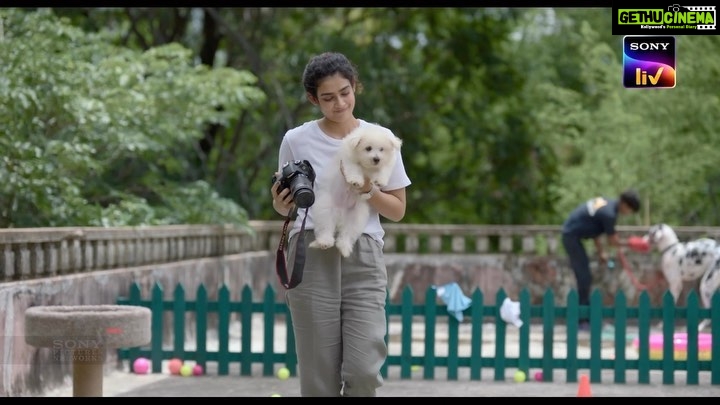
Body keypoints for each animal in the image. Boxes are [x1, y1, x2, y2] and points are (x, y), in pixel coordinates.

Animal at [306, 124, 402, 256]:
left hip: (356, 217)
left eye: (382, 149)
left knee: (347, 233)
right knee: (326, 227)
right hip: (325, 209)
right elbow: (354, 168)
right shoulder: (347, 160)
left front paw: (380, 180)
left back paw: (344, 247)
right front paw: (356, 180)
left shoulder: (387, 164)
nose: (376, 159)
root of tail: (340, 215)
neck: (366, 166)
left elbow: (383, 169)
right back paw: (325, 242)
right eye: (368, 148)